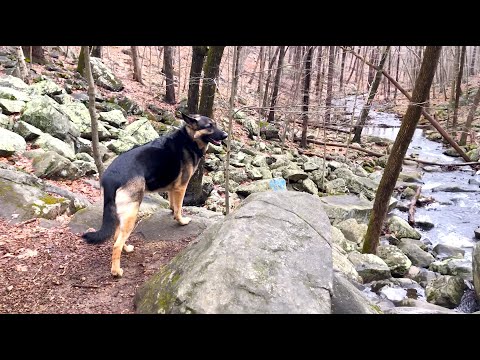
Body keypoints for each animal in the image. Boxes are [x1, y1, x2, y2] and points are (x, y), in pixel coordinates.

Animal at [81, 114, 228, 278]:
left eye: (215, 124)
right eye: (209, 126)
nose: (225, 136)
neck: (189, 139)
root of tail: (110, 177)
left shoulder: (172, 188)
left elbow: (173, 204)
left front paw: (172, 212)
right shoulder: (181, 187)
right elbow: (179, 207)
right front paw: (181, 220)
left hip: (122, 213)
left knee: (116, 236)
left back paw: (126, 249)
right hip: (132, 213)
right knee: (116, 244)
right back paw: (116, 271)